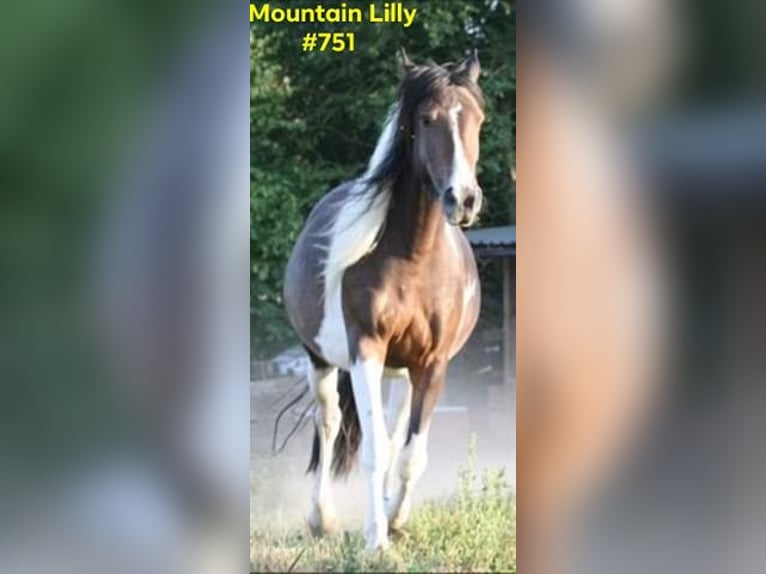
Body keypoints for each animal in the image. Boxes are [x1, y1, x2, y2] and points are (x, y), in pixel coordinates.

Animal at [283, 49, 485, 551]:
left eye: (478, 119)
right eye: (427, 120)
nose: (463, 199)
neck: (413, 258)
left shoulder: (431, 363)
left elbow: (410, 452)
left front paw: (394, 519)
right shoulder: (366, 352)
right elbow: (373, 448)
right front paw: (376, 538)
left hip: (403, 372)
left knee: (394, 435)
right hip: (322, 360)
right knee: (330, 423)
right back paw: (322, 517)